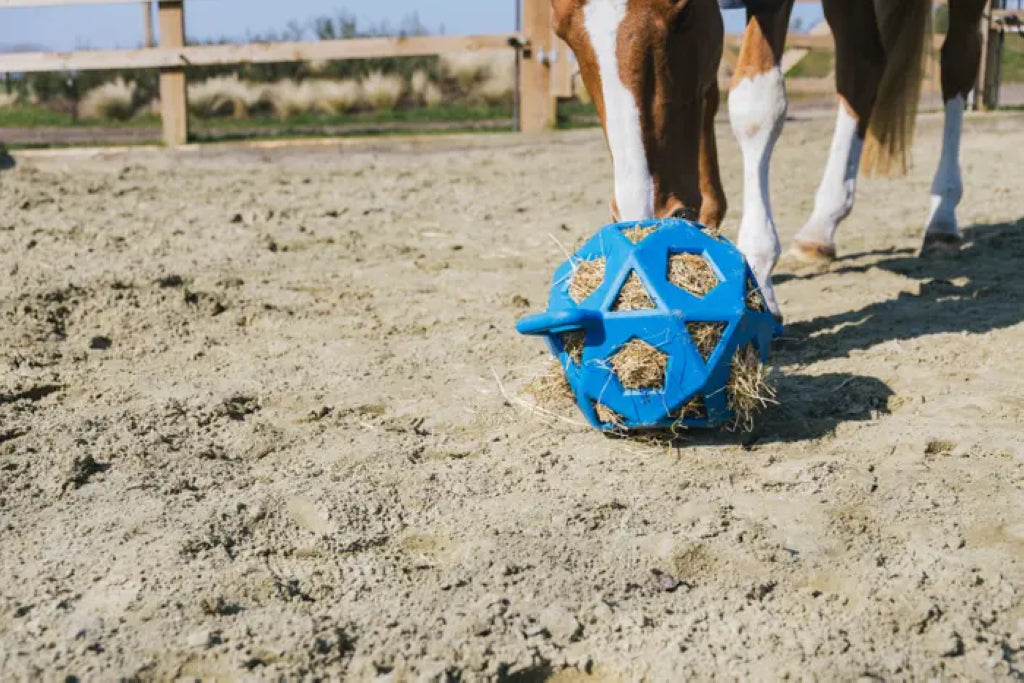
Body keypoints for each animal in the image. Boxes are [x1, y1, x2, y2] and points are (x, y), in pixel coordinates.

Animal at [552, 0, 991, 321]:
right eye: (562, 33)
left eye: (684, 13)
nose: (644, 218)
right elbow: (709, 92)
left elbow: (754, 105)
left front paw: (758, 273)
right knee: (863, 66)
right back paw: (821, 228)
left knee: (958, 61)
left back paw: (942, 217)